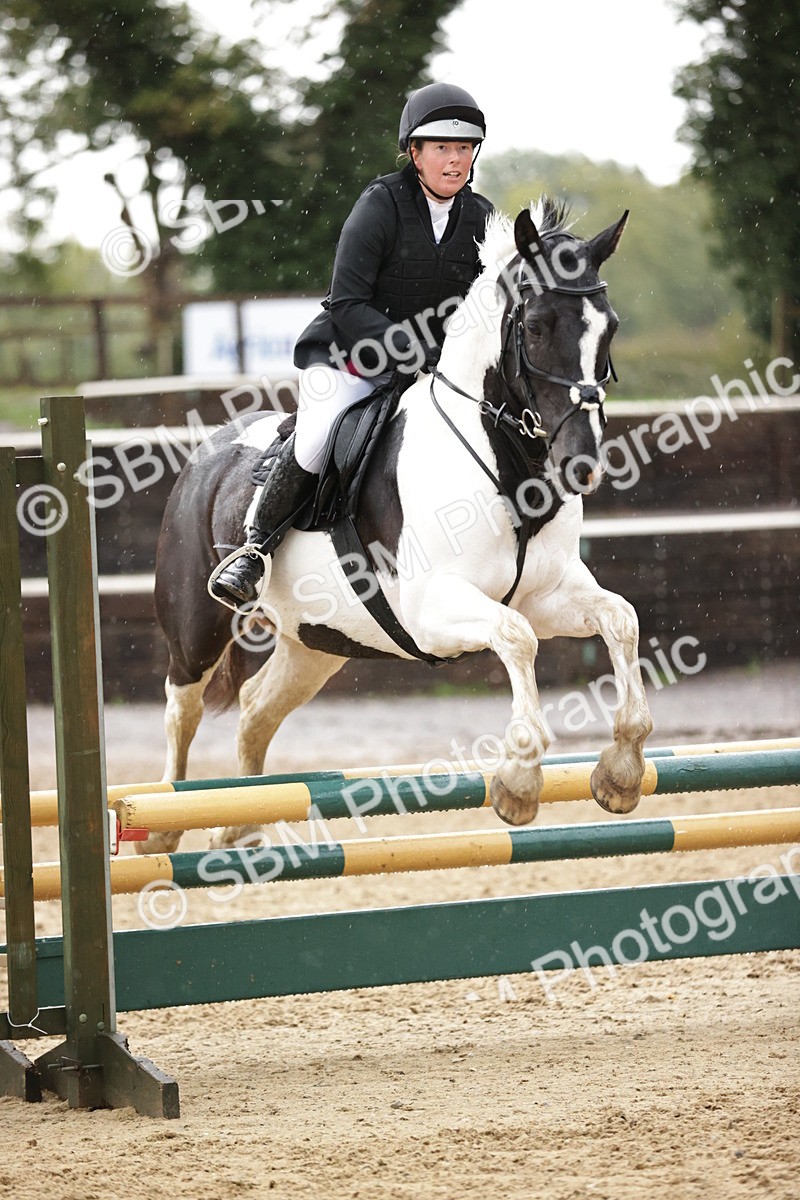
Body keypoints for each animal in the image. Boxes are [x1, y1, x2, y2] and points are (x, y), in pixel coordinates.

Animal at [150, 198, 653, 853]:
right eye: (538, 325)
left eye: (609, 328)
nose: (583, 464)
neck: (508, 463)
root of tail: (206, 451)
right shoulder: (432, 610)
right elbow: (518, 637)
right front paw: (519, 781)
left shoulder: (546, 596)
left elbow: (619, 619)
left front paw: (621, 770)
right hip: (196, 632)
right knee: (180, 712)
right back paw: (162, 827)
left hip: (319, 638)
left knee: (258, 708)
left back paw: (240, 825)